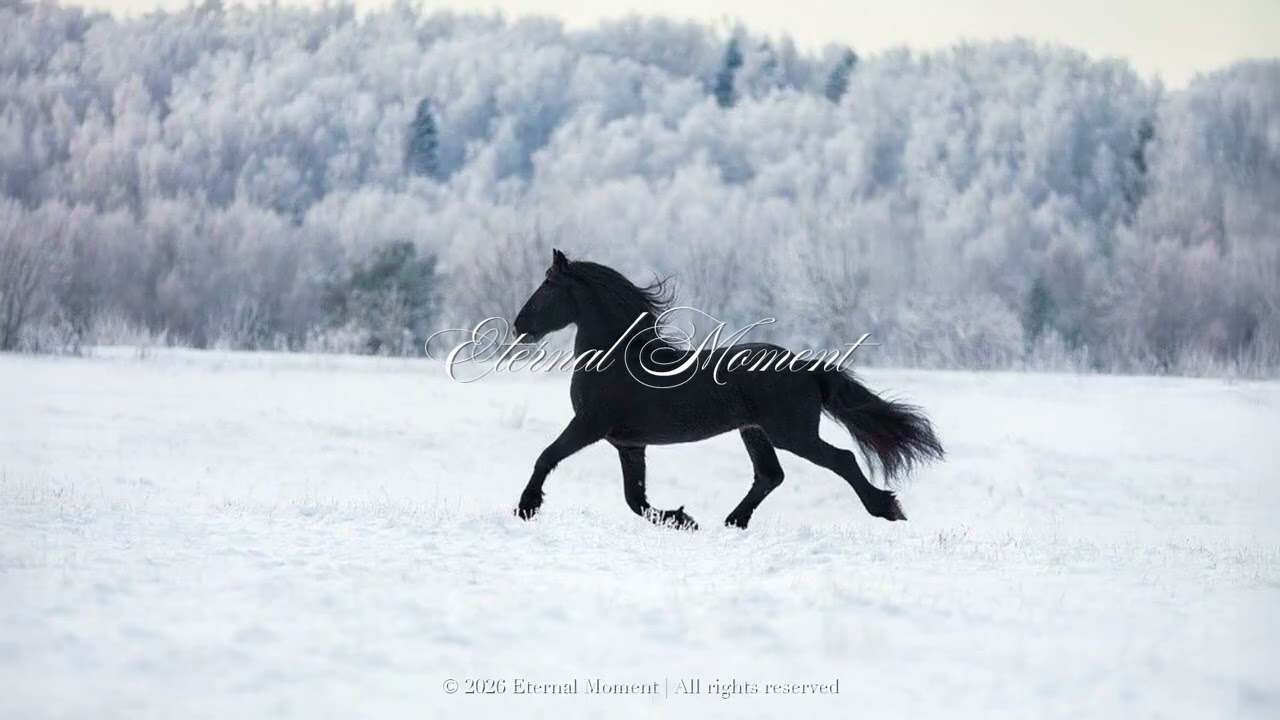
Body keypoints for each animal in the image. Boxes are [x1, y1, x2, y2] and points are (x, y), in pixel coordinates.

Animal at [510, 248, 944, 530]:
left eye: (547, 286)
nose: (519, 326)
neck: (619, 358)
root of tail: (804, 366)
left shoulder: (590, 425)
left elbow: (546, 456)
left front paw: (525, 508)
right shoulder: (629, 444)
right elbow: (636, 499)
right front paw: (682, 519)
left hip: (791, 433)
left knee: (842, 459)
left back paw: (888, 509)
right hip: (754, 432)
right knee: (770, 475)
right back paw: (734, 521)